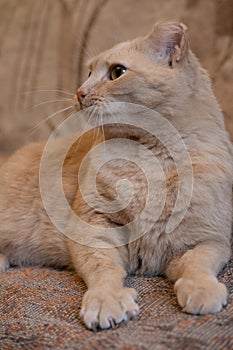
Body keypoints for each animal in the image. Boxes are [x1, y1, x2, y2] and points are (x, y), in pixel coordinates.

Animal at [0, 22, 233, 330]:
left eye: (116, 72)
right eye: (88, 72)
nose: (80, 92)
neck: (149, 162)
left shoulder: (208, 239)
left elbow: (198, 264)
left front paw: (201, 289)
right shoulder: (94, 228)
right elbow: (104, 270)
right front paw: (107, 301)